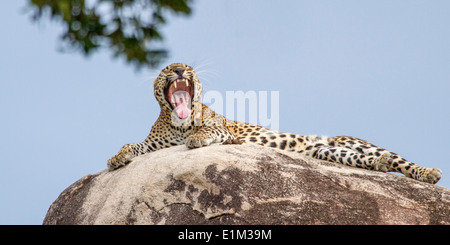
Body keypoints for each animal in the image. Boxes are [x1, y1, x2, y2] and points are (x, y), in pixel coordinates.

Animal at [108, 63, 442, 184]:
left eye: (187, 67)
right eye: (166, 69)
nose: (179, 70)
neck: (178, 123)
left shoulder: (225, 130)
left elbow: (208, 128)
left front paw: (197, 138)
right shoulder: (154, 143)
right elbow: (132, 144)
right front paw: (116, 158)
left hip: (351, 141)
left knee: (399, 159)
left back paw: (428, 172)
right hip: (329, 152)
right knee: (368, 160)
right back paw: (379, 165)